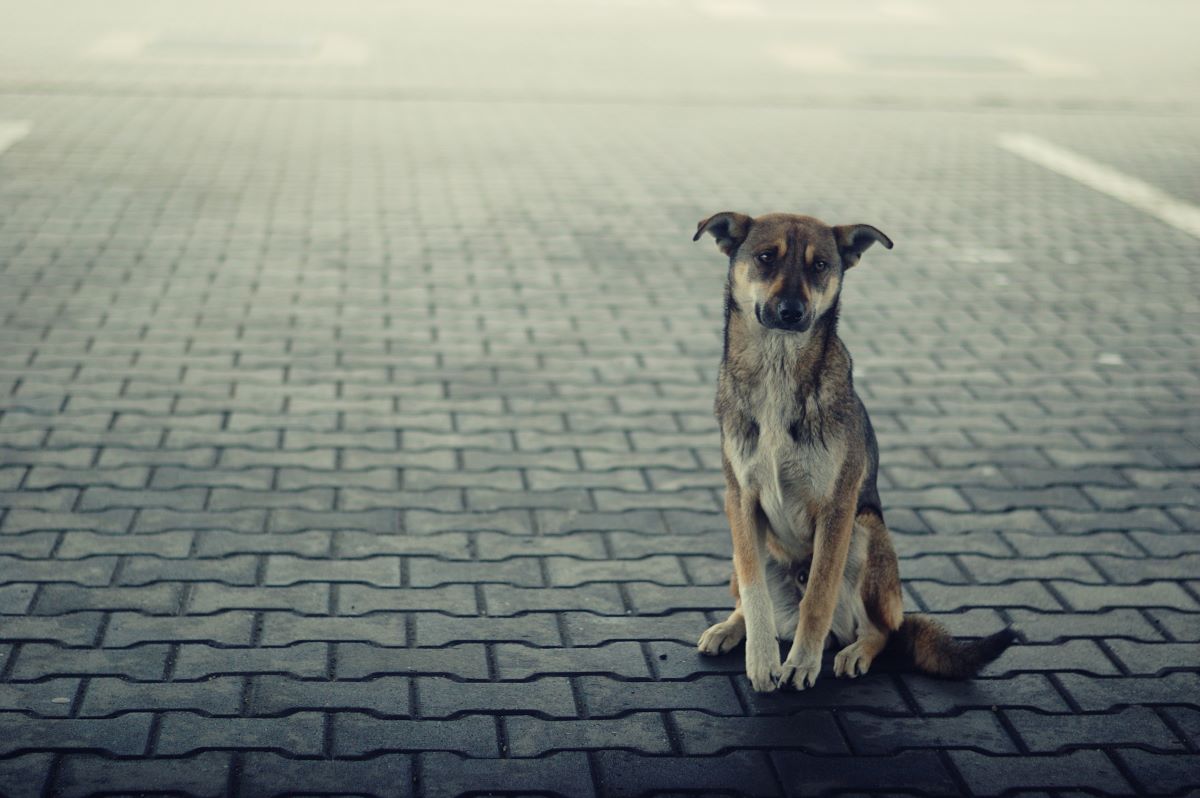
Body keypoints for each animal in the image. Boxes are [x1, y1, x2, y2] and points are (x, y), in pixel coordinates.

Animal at [696, 213, 1012, 691]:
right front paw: (763, 659)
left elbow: (819, 595)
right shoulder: (741, 500)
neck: (778, 369)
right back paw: (729, 628)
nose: (792, 312)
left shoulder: (838, 507)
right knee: (748, 596)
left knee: (882, 629)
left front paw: (802, 663)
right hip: (748, 547)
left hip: (867, 533)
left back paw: (855, 651)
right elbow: (755, 594)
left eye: (820, 265)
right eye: (766, 257)